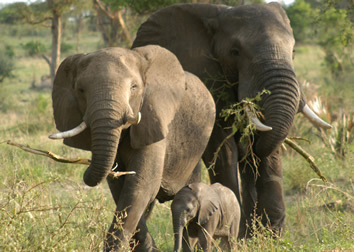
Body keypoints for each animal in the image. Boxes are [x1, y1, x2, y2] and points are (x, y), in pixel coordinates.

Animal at [49, 44, 216, 251]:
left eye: (134, 87)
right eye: (80, 90)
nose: (85, 170)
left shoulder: (154, 118)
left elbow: (141, 185)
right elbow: (121, 188)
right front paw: (149, 248)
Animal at [131, 2, 330, 237]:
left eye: (293, 51)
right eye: (235, 52)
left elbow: (268, 145)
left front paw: (270, 236)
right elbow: (223, 149)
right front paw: (240, 234)